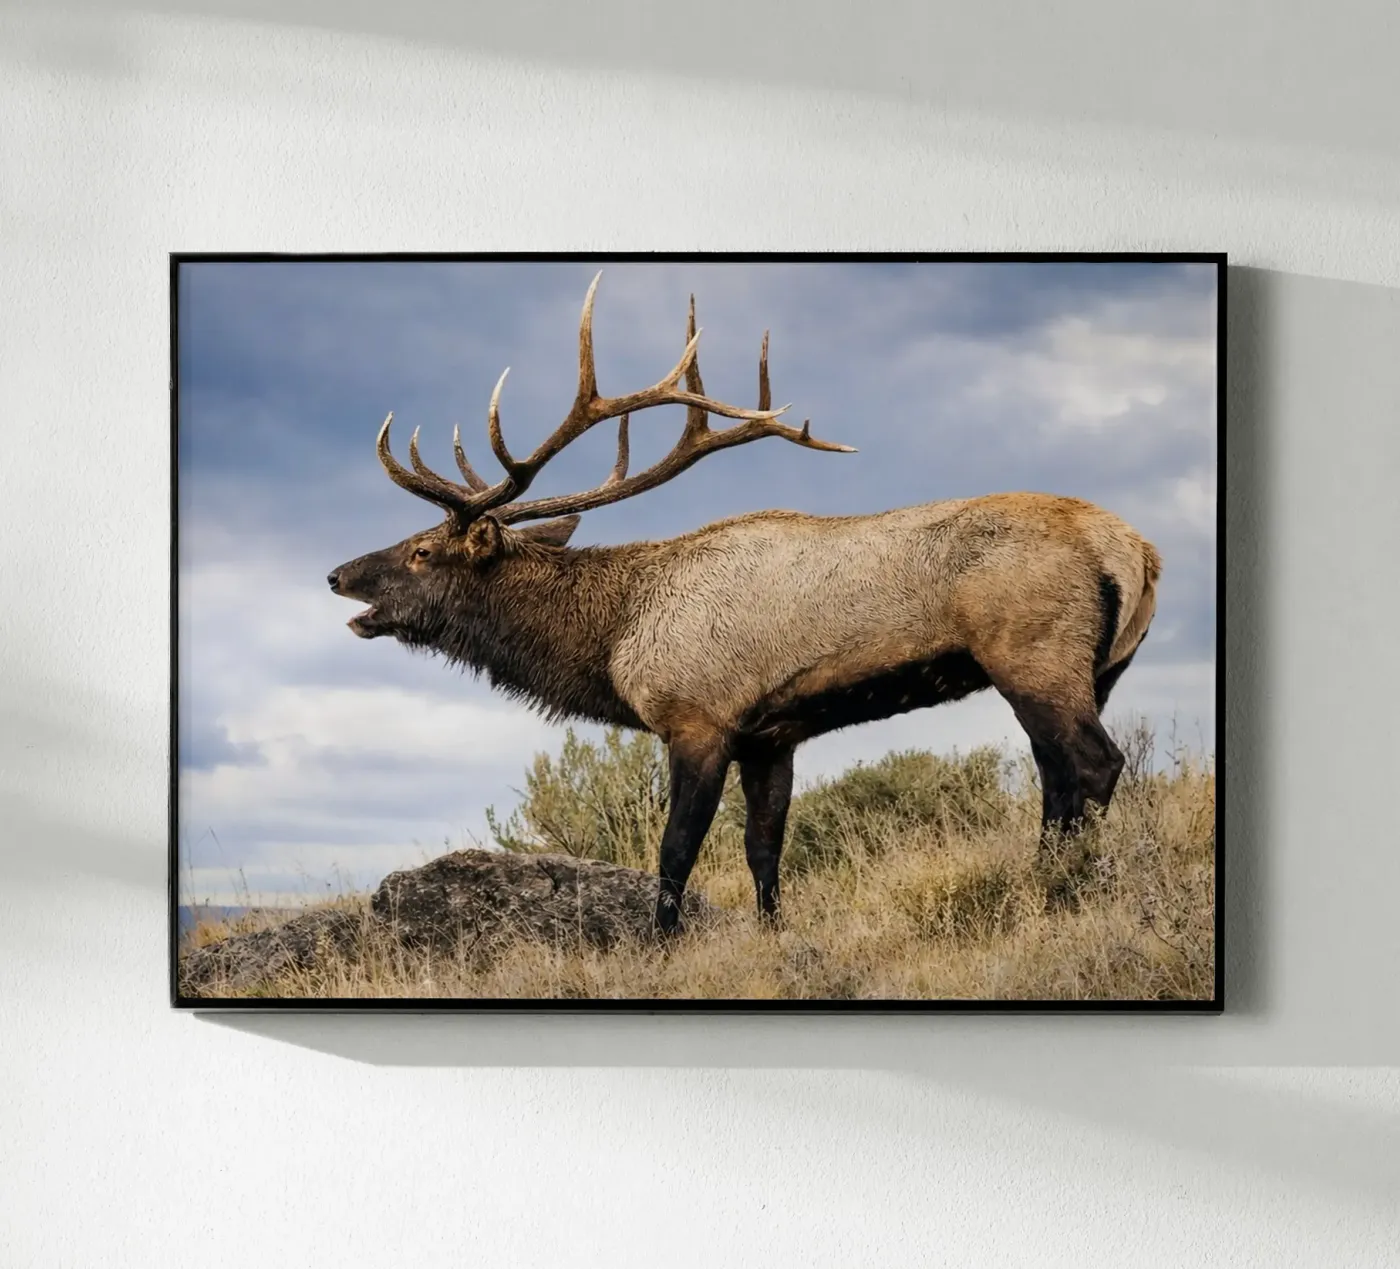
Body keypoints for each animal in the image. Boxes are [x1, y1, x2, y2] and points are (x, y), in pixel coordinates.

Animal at [328, 272, 1162, 935]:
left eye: (422, 551)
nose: (338, 574)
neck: (616, 638)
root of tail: (1138, 552)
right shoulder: (773, 734)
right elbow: (764, 848)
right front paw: (770, 932)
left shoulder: (699, 717)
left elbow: (676, 849)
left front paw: (658, 944)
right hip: (1101, 669)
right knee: (1058, 776)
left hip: (1033, 652)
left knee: (1091, 765)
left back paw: (1059, 892)